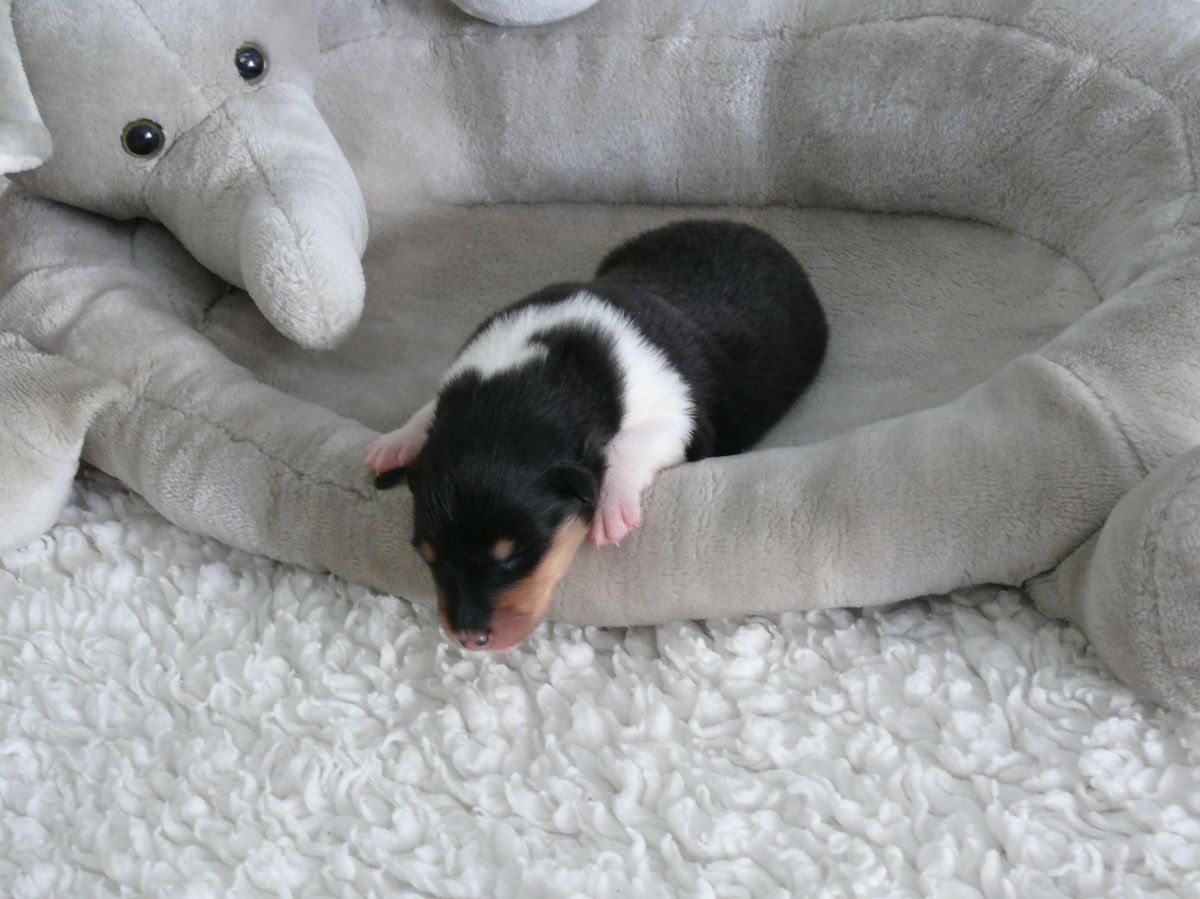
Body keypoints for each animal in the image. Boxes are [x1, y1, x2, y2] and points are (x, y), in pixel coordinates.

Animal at [366, 220, 828, 651]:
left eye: (515, 556)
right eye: (428, 559)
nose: (468, 639)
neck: (533, 375)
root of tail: (742, 227)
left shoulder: (683, 416)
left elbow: (630, 443)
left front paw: (612, 506)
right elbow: (429, 408)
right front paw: (397, 441)